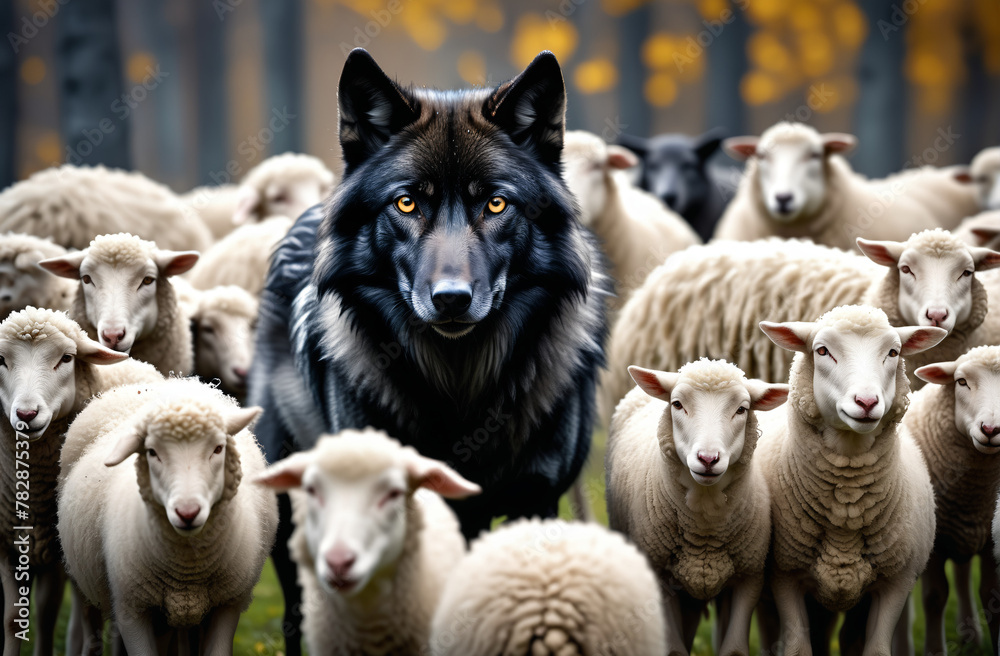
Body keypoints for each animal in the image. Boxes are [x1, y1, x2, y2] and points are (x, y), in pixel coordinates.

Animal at [0, 307, 159, 656]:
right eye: (1, 361)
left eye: (66, 358)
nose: (27, 414)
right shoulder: (7, 542)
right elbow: (14, 619)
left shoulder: (59, 549)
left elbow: (48, 612)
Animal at [58, 376, 277, 655]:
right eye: (152, 452)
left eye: (218, 448)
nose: (187, 512)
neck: (187, 568)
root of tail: (167, 382)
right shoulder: (132, 611)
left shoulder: (228, 605)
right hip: (85, 585)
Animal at [605, 358, 788, 656]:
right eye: (677, 404)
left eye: (742, 409)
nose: (708, 458)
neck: (705, 528)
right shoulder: (661, 578)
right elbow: (674, 651)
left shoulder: (749, 578)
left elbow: (734, 650)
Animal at [755, 305, 946, 656]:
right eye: (822, 351)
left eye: (893, 352)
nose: (867, 402)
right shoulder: (784, 577)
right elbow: (798, 647)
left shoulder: (896, 583)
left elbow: (876, 649)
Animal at [904, 346, 1000, 654]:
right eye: (961, 381)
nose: (991, 429)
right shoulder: (935, 544)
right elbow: (934, 598)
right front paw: (935, 649)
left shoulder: (990, 540)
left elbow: (991, 596)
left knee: (962, 573)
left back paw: (972, 638)